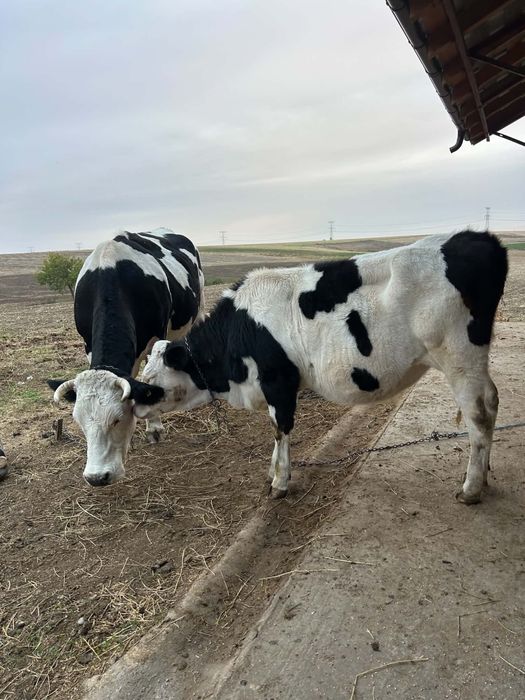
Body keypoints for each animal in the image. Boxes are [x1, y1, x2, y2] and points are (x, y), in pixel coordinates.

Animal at [48, 228, 205, 487]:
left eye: (117, 419)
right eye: (79, 421)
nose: (97, 478)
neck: (111, 272)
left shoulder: (156, 338)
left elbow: (149, 383)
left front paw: (154, 427)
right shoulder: (88, 343)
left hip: (197, 307)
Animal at [133, 230, 508, 505]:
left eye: (151, 385)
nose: (134, 407)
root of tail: (473, 237)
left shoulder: (278, 381)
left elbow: (280, 429)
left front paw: (280, 482)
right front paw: (272, 472)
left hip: (459, 357)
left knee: (479, 412)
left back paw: (472, 488)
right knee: (491, 404)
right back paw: (484, 475)